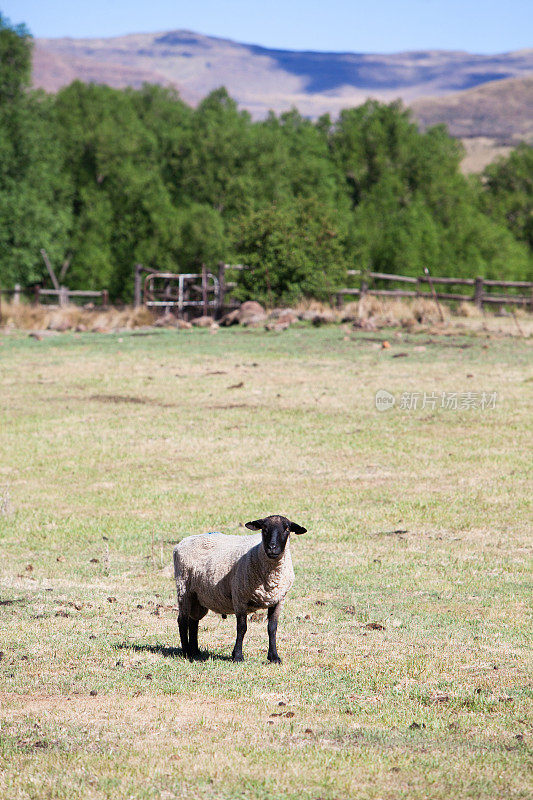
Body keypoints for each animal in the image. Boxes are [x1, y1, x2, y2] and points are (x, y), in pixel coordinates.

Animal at [172, 512, 306, 664]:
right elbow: (242, 628)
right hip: (184, 588)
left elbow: (272, 628)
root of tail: (184, 541)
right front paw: (237, 656)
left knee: (194, 621)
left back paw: (195, 651)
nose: (272, 548)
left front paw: (274, 657)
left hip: (198, 596)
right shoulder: (240, 597)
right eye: (264, 528)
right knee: (182, 621)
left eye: (287, 529)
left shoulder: (278, 599)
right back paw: (186, 651)